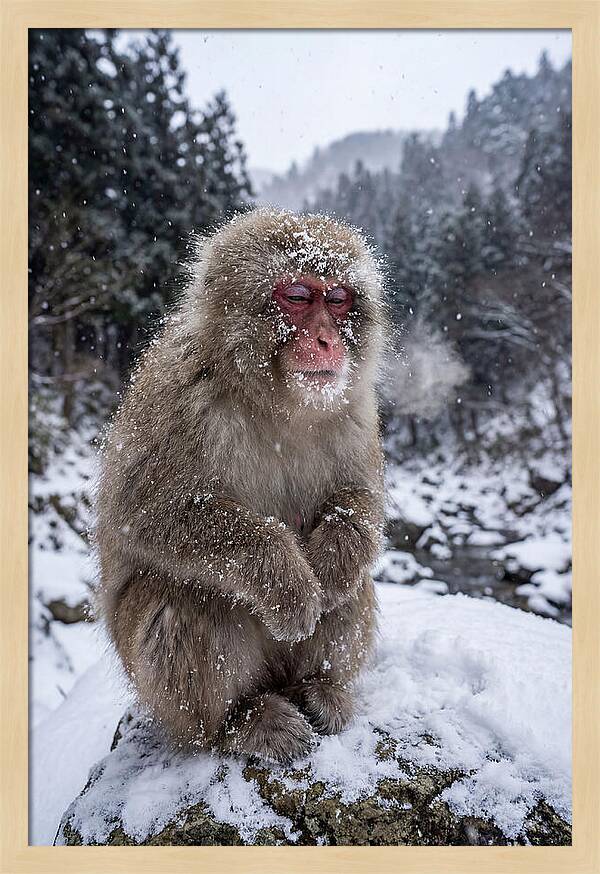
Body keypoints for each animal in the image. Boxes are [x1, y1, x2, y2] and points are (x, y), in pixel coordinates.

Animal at [96, 208, 386, 763]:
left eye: (338, 299)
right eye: (297, 295)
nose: (327, 339)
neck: (276, 402)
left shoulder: (357, 410)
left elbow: (360, 498)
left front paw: (332, 561)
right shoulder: (178, 394)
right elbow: (143, 512)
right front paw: (288, 580)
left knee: (353, 587)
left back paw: (319, 688)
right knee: (183, 597)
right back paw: (239, 722)